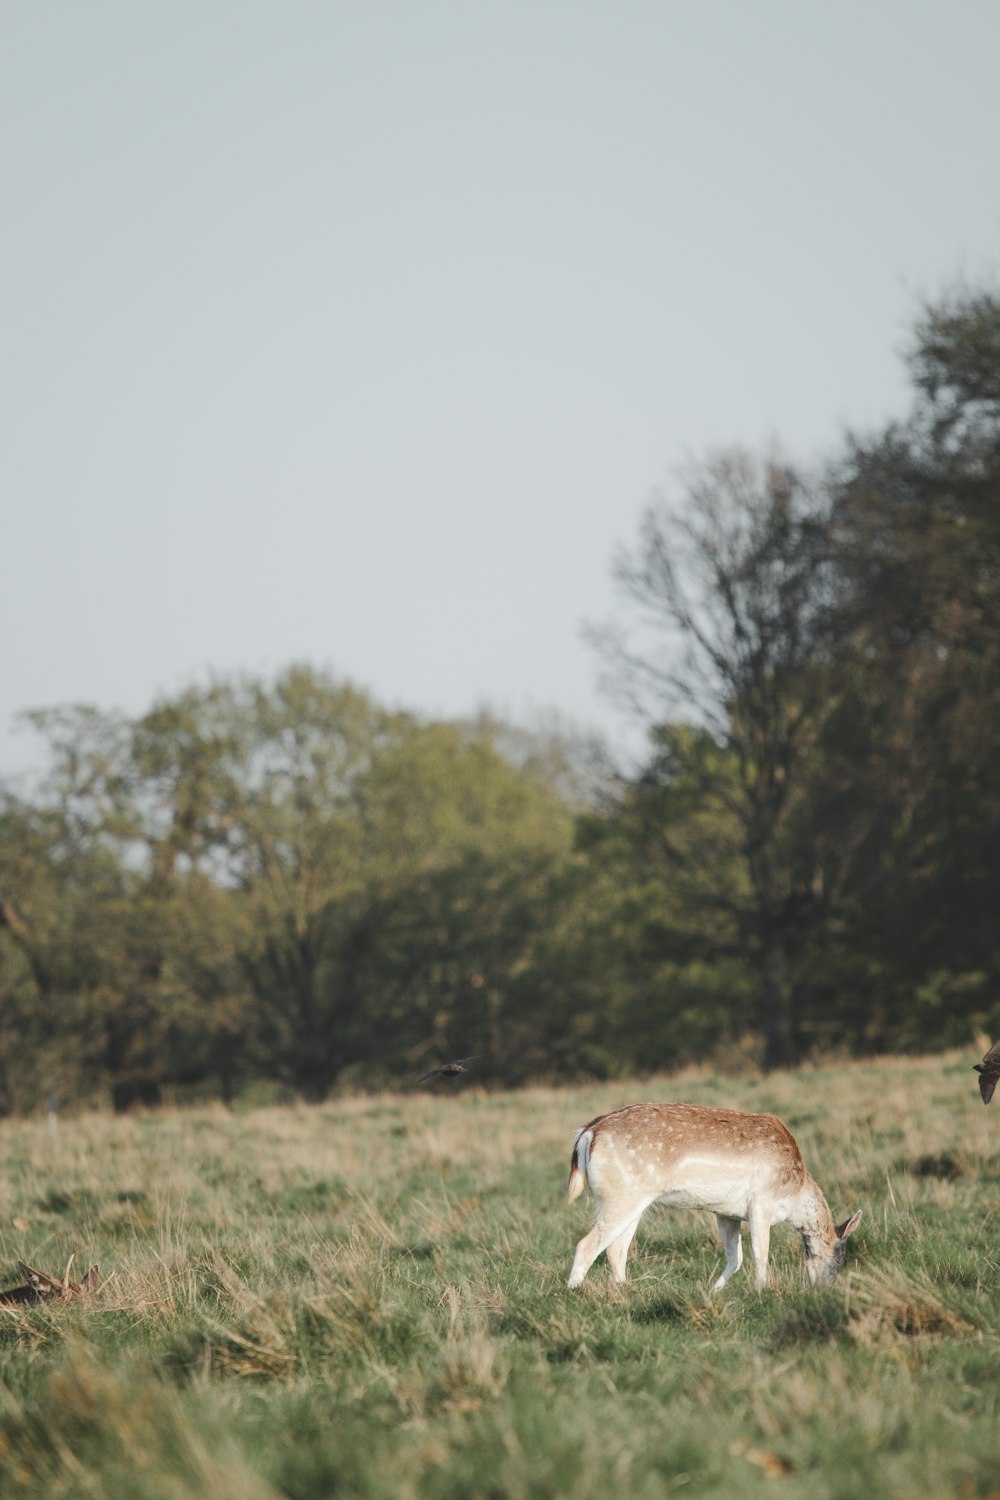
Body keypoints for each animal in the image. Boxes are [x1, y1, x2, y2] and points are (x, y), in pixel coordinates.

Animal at [566, 1104, 863, 1290]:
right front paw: (761, 1291)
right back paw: (573, 1292)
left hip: (631, 1202)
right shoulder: (761, 1205)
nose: (823, 1289)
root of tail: (588, 1133)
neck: (793, 1194)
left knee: (616, 1249)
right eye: (840, 1258)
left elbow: (736, 1258)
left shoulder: (726, 1213)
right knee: (585, 1245)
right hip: (620, 1197)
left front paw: (714, 1291)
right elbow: (760, 1254)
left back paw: (626, 1292)